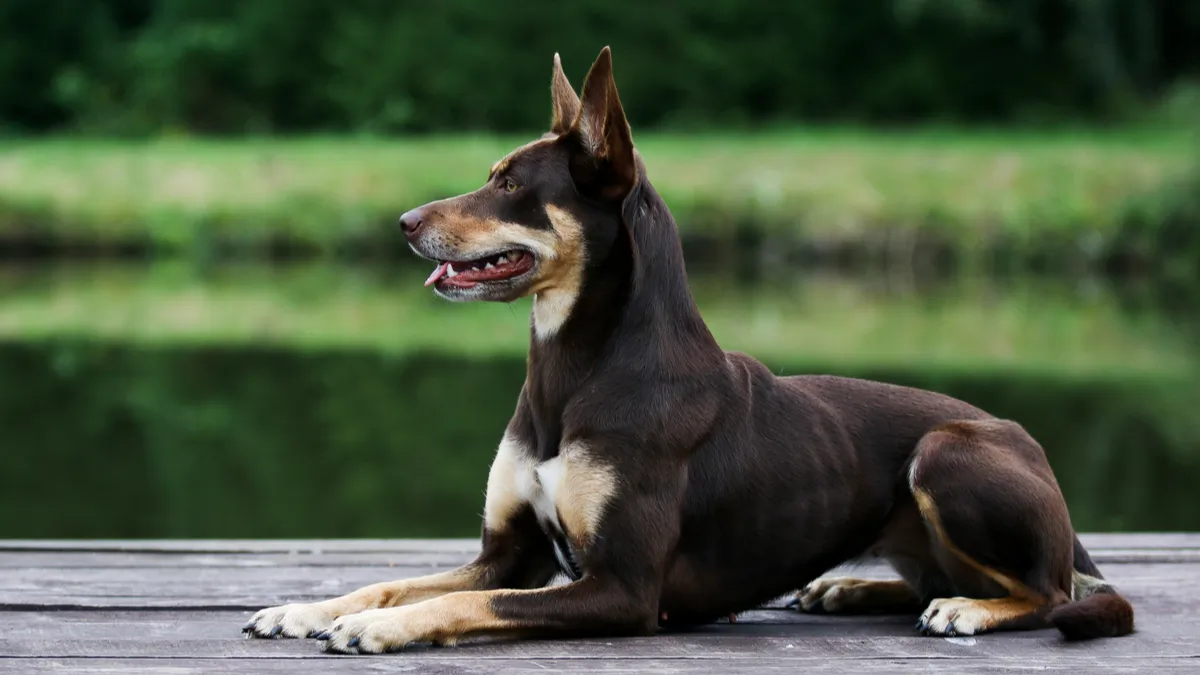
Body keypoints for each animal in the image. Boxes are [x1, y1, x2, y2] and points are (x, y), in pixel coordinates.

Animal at [241, 45, 1132, 653]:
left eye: (508, 183)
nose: (402, 223)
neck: (579, 369)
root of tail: (1031, 449)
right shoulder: (510, 555)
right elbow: (393, 580)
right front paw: (306, 607)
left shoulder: (621, 589)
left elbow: (454, 602)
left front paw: (380, 628)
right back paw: (846, 589)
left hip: (947, 453)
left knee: (1052, 593)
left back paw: (967, 608)